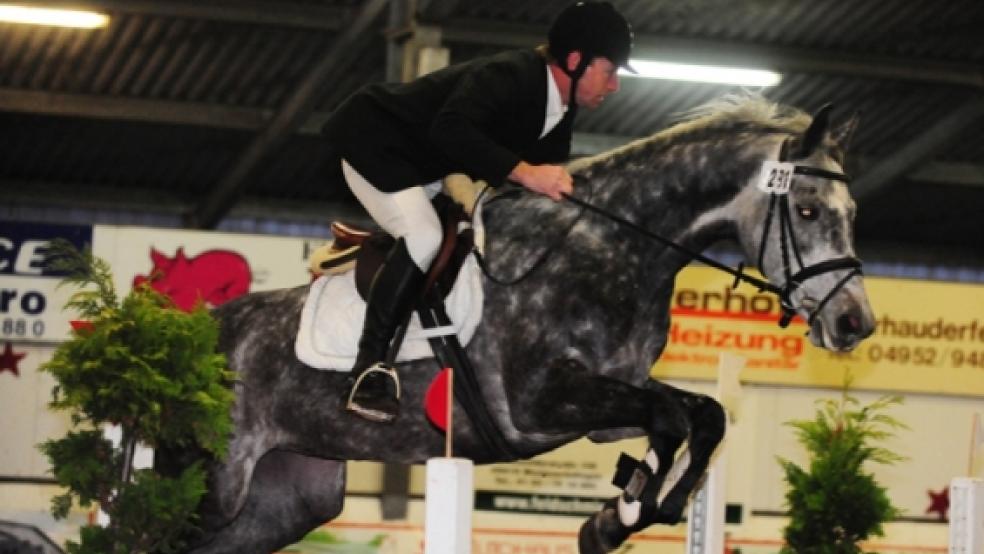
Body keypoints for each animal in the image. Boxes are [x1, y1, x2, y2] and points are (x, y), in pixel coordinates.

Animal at [175, 92, 876, 548]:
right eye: (808, 211)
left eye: (851, 213)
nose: (856, 325)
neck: (615, 245)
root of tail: (195, 334)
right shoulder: (540, 401)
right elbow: (675, 418)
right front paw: (624, 513)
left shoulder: (609, 402)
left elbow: (701, 415)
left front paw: (628, 513)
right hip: (216, 482)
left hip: (284, 499)